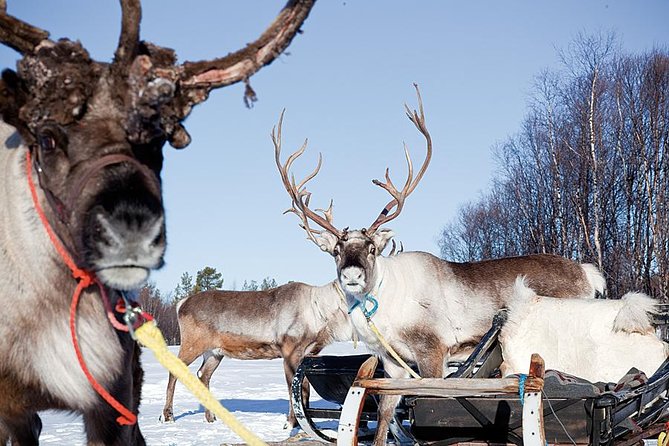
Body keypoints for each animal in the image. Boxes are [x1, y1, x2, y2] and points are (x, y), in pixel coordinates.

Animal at [161, 280, 354, 428]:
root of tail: (181, 304)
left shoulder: (308, 354)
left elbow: (304, 389)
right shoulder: (289, 351)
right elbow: (293, 389)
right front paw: (290, 424)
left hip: (214, 353)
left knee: (203, 374)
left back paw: (210, 417)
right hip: (192, 344)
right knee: (175, 370)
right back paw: (167, 416)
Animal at [272, 85, 606, 445]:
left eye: (372, 248)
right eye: (336, 249)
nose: (351, 274)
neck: (387, 311)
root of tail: (588, 274)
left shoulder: (433, 350)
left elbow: (427, 402)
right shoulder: (392, 361)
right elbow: (386, 414)